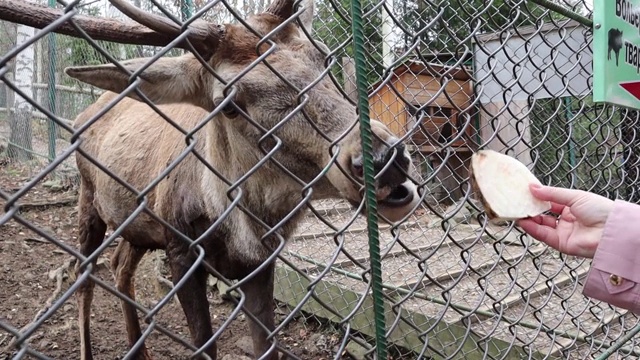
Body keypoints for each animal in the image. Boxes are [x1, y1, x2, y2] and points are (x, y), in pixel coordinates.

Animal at [2, 0, 422, 358]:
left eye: (323, 56)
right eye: (230, 104)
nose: (384, 157)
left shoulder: (260, 261)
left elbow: (266, 344)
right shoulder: (180, 247)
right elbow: (205, 343)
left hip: (138, 224)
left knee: (121, 265)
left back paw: (141, 350)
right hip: (89, 199)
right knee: (84, 275)